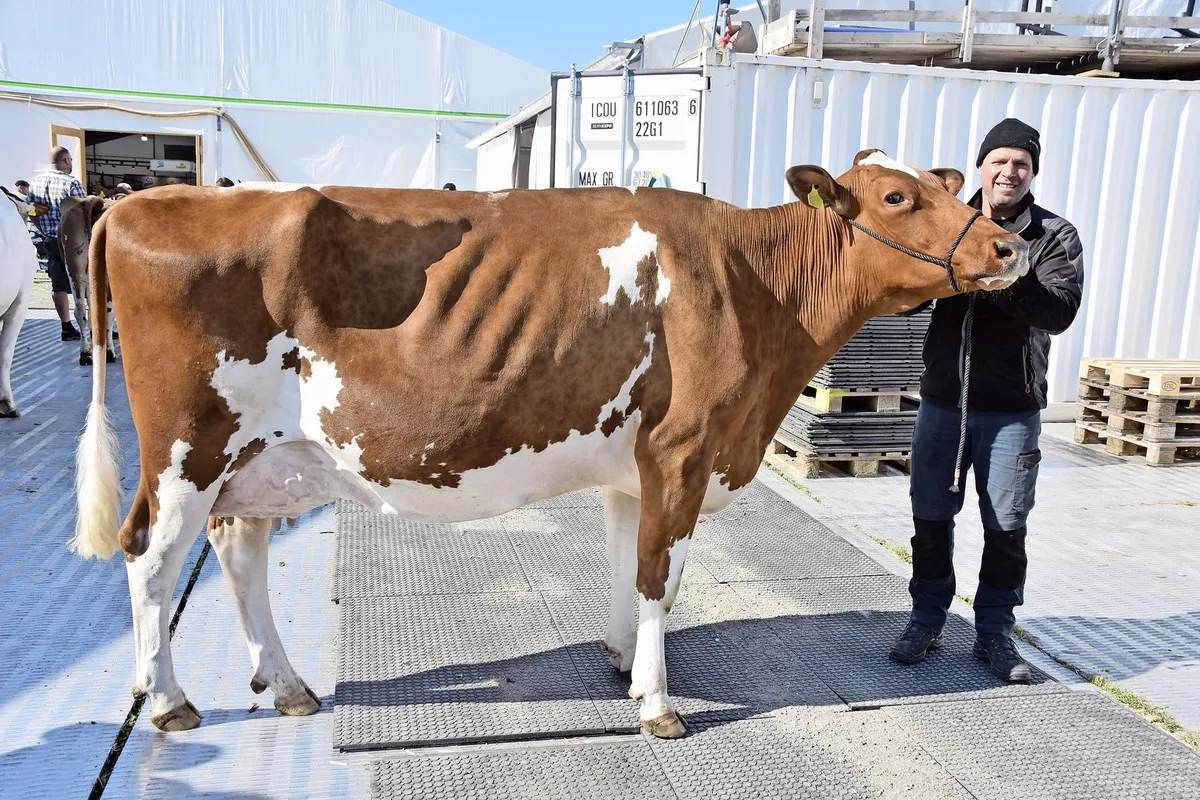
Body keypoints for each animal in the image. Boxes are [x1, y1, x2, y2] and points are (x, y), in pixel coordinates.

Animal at [58, 195, 118, 366]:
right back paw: (108, 353)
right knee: (107, 312)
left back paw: (85, 354)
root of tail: (93, 201)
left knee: (81, 310)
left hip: (74, 267)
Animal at [70, 149, 1028, 737]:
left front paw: (624, 665)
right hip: (187, 450)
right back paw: (168, 702)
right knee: (150, 556)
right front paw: (659, 706)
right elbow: (658, 577)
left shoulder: (636, 468)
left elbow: (633, 568)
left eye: (950, 187)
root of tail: (140, 202)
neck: (751, 286)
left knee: (238, 550)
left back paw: (291, 687)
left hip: (263, 458)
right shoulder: (682, 451)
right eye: (900, 198)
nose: (1007, 244)